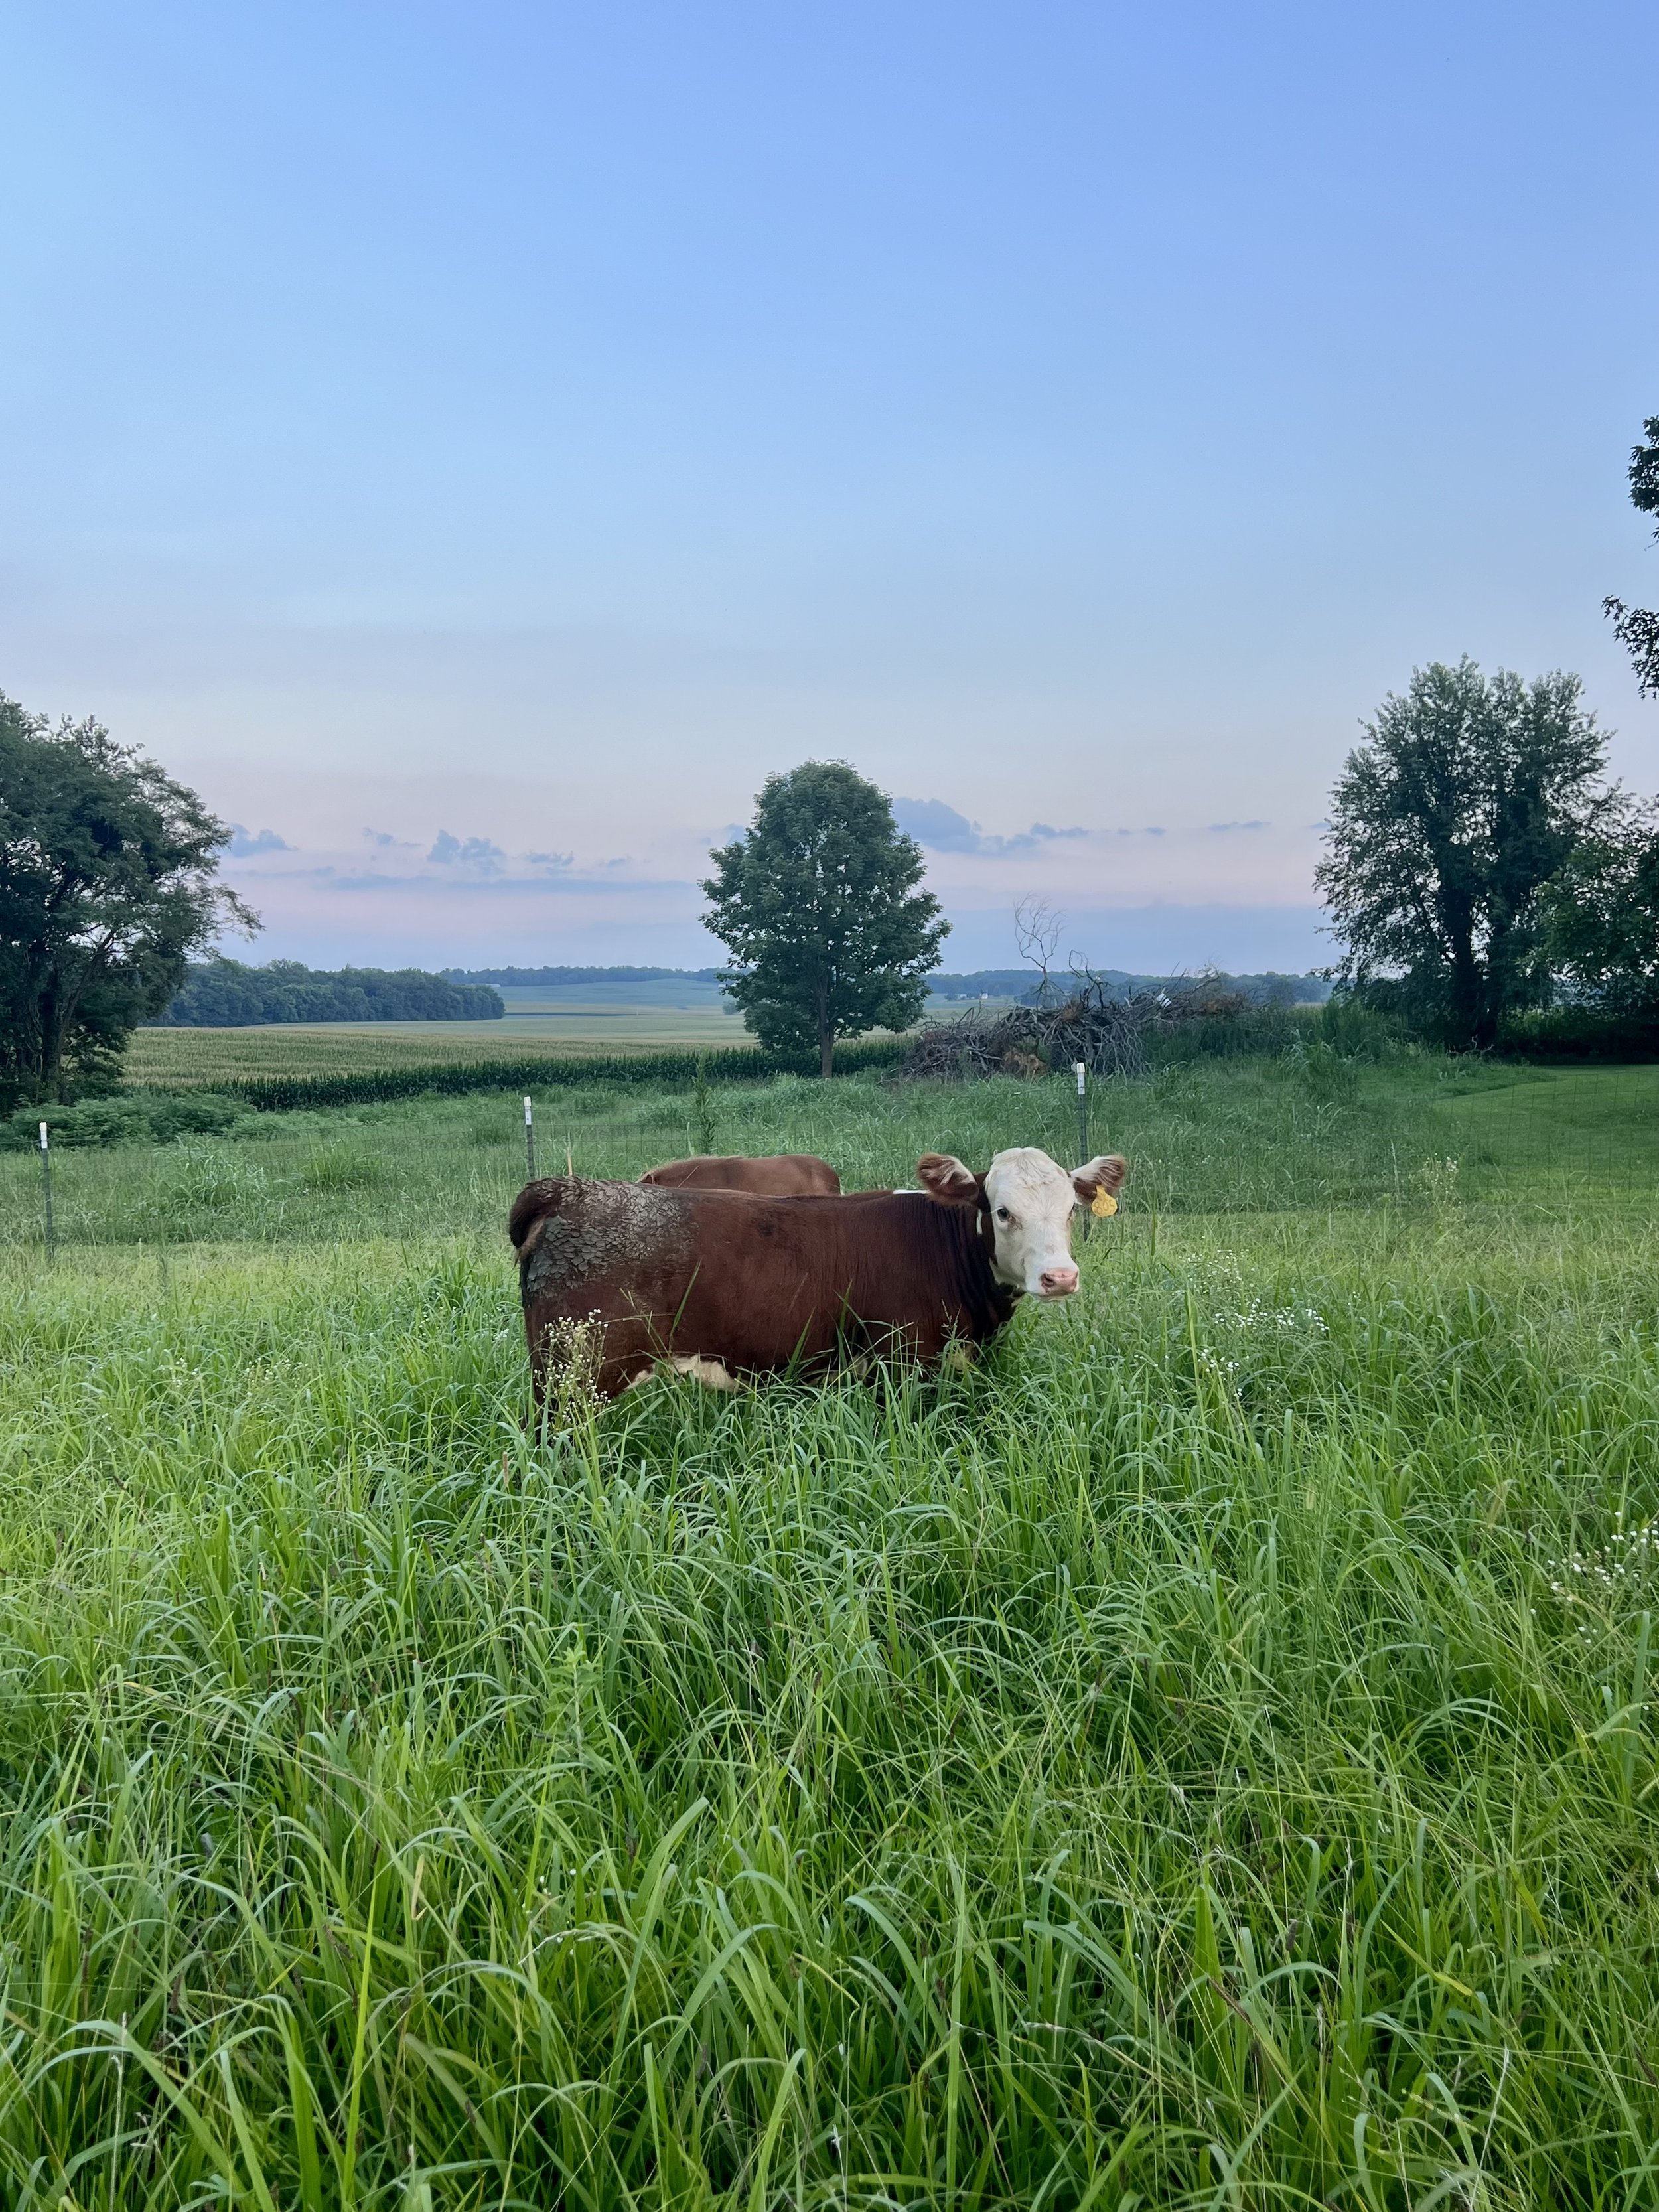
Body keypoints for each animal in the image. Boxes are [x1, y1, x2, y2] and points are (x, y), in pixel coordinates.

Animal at [509, 1145, 1127, 1402]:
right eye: (1002, 1210)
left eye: (1070, 1210)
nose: (1060, 1277)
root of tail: (568, 1190)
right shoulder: (902, 1365)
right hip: (574, 1380)